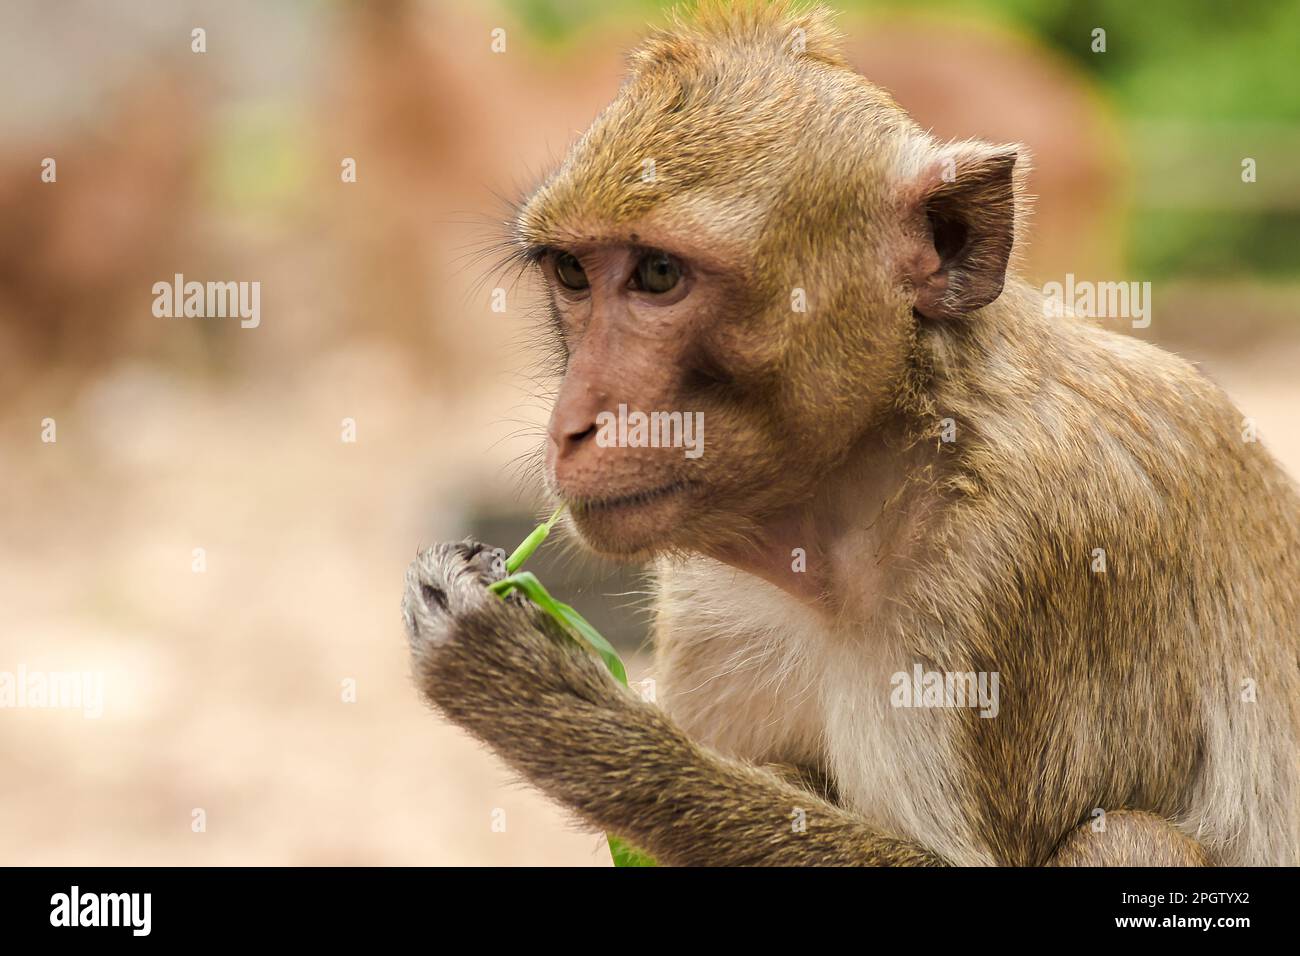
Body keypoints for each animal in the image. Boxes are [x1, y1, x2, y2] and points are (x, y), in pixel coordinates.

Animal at [402, 1, 1300, 866]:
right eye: (572, 273)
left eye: (657, 274)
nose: (573, 426)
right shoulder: (708, 602)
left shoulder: (1029, 560)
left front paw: (555, 704)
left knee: (1125, 837)